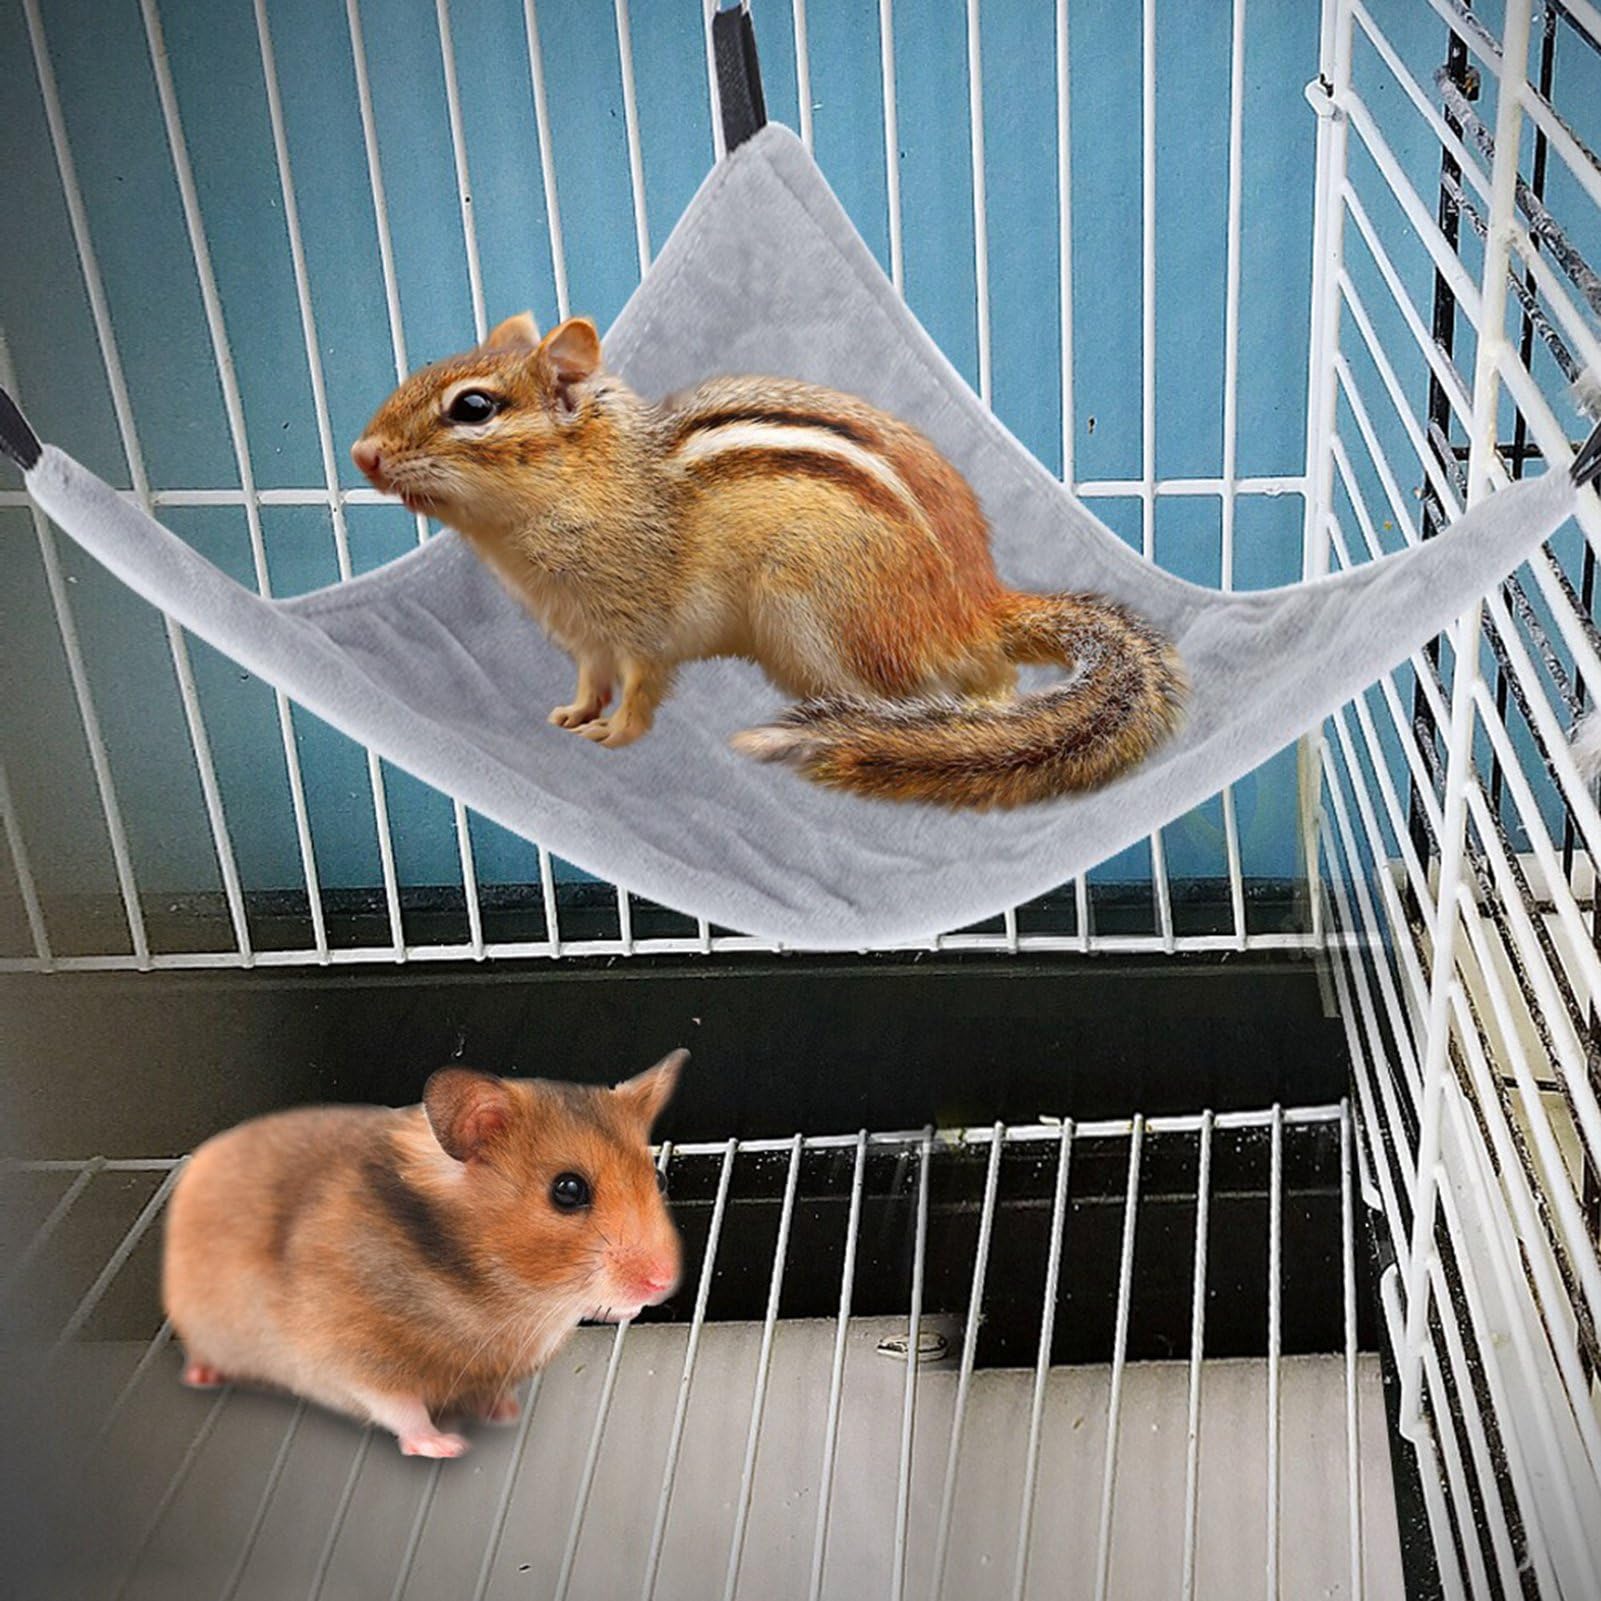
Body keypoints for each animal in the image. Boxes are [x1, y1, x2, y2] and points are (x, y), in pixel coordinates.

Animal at [160, 1049, 685, 1458]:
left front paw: (504, 1414)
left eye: (658, 1178)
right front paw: (447, 1446)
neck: (509, 1298)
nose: (662, 1282)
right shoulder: (349, 1354)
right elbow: (400, 1406)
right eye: (568, 1190)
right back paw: (202, 1376)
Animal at [349, 313, 1185, 809]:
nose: (362, 453)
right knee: (994, 682)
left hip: (816, 620)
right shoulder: (584, 636)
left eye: (473, 407)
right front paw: (572, 715)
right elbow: (588, 681)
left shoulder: (643, 626)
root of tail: (973, 605)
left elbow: (641, 689)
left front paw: (614, 736)